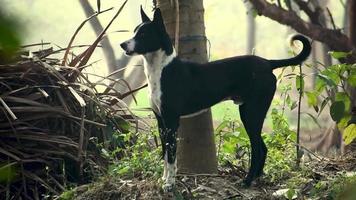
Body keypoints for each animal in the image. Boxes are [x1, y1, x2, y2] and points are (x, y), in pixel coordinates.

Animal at [120, 7, 312, 190]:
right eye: (135, 31)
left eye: (144, 34)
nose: (122, 44)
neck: (163, 69)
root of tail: (267, 63)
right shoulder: (161, 121)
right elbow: (165, 154)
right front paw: (164, 179)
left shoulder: (172, 122)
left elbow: (172, 155)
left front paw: (170, 184)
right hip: (249, 113)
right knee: (262, 148)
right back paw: (255, 179)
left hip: (252, 114)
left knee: (258, 149)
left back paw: (247, 181)